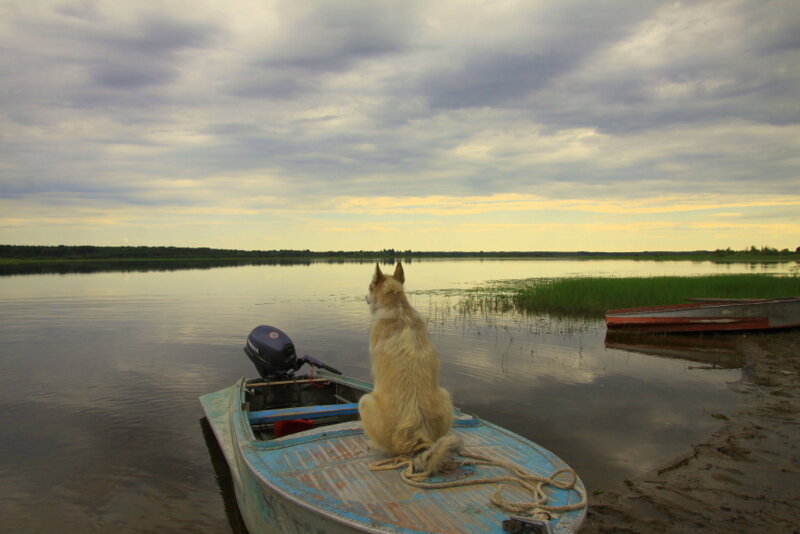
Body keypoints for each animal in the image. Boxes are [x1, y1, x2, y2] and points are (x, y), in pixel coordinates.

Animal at [358, 262, 462, 476]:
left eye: (370, 287)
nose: (365, 298)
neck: (398, 306)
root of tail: (416, 438)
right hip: (445, 396)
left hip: (364, 402)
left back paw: (373, 445)